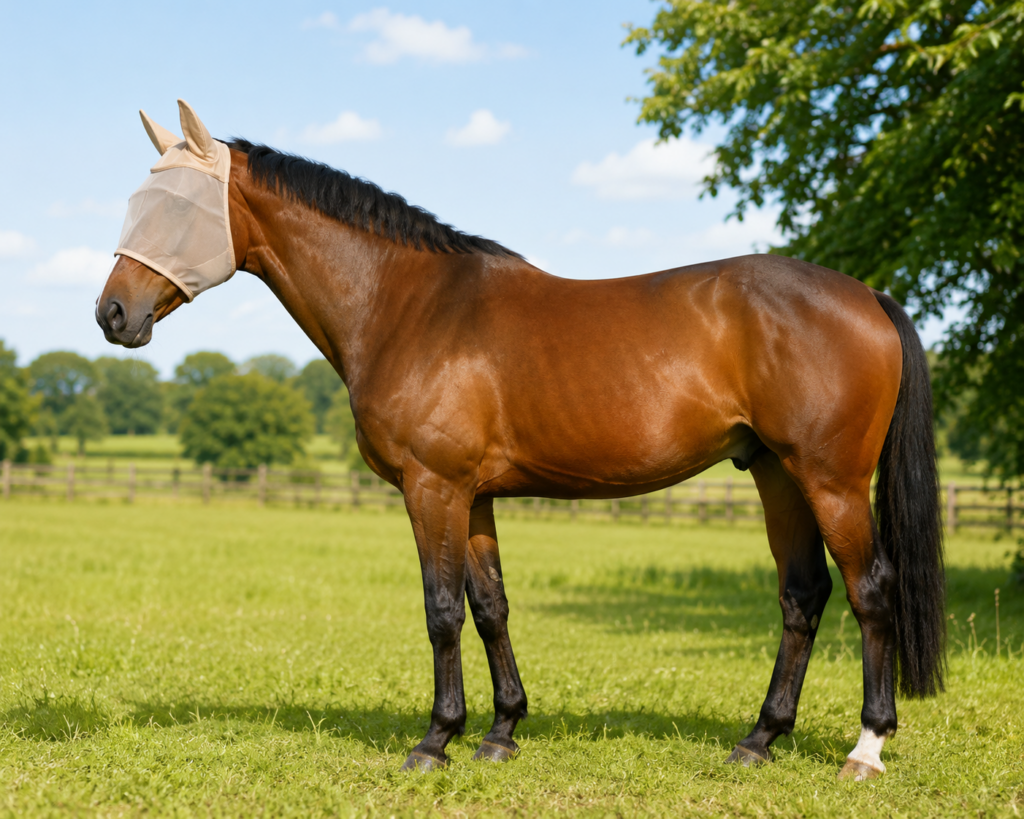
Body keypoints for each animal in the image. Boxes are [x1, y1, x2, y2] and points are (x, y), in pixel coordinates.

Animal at [97, 100, 945, 781]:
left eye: (174, 206)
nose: (112, 313)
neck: (409, 305)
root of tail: (867, 293)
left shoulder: (432, 487)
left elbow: (441, 609)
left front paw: (435, 740)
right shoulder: (473, 497)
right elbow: (491, 606)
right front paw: (501, 731)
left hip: (831, 479)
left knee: (872, 591)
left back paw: (866, 747)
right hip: (776, 473)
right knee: (803, 596)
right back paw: (759, 739)